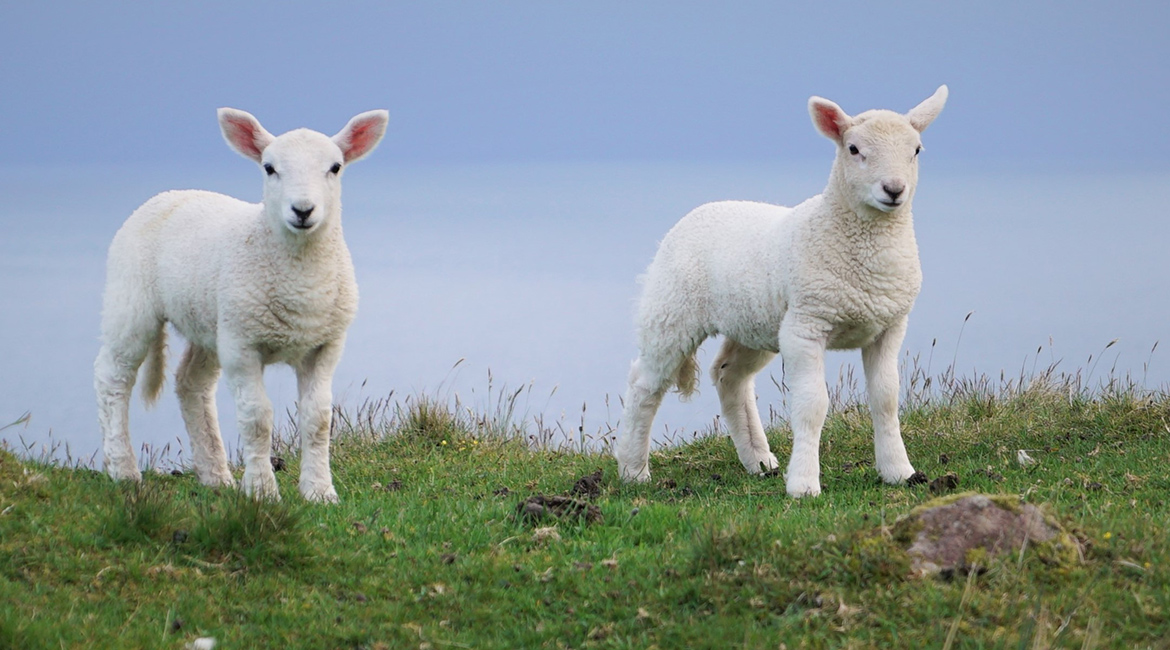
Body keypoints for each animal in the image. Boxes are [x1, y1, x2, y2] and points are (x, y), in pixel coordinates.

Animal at [95, 108, 388, 502]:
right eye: (269, 168)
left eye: (335, 167)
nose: (303, 210)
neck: (300, 277)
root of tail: (171, 194)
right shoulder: (242, 345)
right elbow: (257, 418)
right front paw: (262, 490)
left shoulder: (324, 346)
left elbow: (318, 419)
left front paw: (320, 491)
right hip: (131, 297)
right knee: (113, 377)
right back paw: (123, 469)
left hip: (212, 321)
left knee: (191, 384)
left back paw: (216, 476)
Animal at [617, 86, 945, 498]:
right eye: (853, 149)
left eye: (916, 149)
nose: (894, 190)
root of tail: (703, 208)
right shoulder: (806, 326)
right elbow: (812, 405)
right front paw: (804, 484)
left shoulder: (888, 326)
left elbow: (886, 399)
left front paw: (899, 471)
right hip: (672, 311)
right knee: (644, 385)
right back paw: (633, 470)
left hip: (755, 324)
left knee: (729, 377)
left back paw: (759, 461)